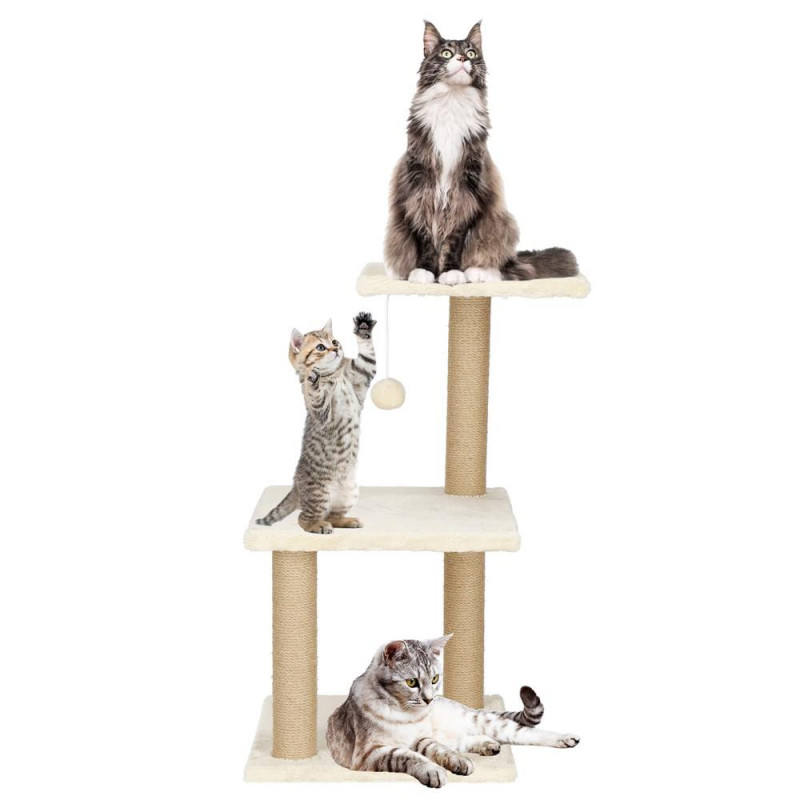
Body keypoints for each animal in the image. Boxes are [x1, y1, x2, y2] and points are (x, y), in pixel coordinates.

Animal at [255, 312, 377, 534]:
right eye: (321, 347)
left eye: (334, 341)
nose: (336, 349)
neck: (335, 376)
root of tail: (295, 487)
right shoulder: (321, 412)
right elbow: (315, 394)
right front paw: (312, 378)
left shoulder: (362, 374)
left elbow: (367, 356)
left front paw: (363, 327)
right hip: (319, 493)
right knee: (304, 518)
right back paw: (318, 525)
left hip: (349, 493)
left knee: (333, 515)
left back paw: (347, 521)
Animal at [326, 636, 579, 787]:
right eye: (411, 682)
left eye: (435, 678)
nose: (429, 699)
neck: (406, 715)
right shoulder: (369, 753)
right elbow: (408, 755)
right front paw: (435, 770)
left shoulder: (421, 738)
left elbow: (437, 750)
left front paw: (454, 762)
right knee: (465, 740)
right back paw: (487, 745)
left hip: (484, 721)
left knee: (524, 732)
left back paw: (565, 738)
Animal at [385, 21, 579, 285]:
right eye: (446, 53)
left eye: (471, 53)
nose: (461, 58)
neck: (451, 104)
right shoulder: (419, 186)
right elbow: (425, 236)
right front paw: (425, 271)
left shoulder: (468, 189)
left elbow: (454, 238)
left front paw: (450, 272)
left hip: (502, 223)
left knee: (503, 266)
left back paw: (478, 272)